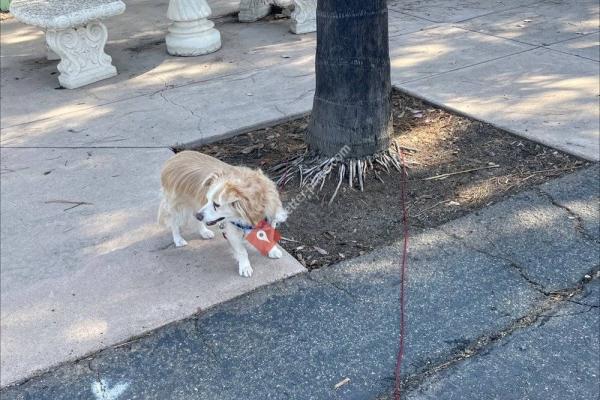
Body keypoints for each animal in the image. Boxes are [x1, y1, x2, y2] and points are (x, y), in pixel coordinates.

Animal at [158, 149, 288, 276]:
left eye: (216, 205)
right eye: (208, 199)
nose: (199, 215)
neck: (251, 214)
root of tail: (176, 157)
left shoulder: (271, 218)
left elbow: (269, 236)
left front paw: (272, 250)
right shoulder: (232, 230)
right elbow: (242, 251)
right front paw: (245, 266)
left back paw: (204, 231)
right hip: (178, 208)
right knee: (174, 223)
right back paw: (178, 239)